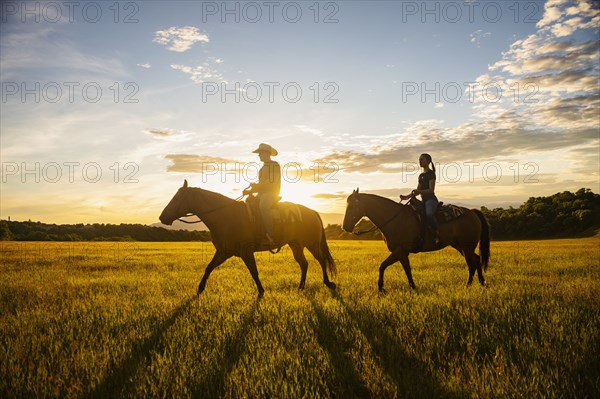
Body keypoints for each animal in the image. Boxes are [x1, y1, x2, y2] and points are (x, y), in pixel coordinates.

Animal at [159, 181, 338, 296]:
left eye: (177, 198)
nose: (162, 217)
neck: (225, 215)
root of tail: (312, 212)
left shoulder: (246, 251)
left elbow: (254, 271)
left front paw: (261, 292)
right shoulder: (223, 252)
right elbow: (208, 268)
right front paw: (199, 290)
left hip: (312, 244)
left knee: (321, 260)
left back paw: (328, 283)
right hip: (296, 245)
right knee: (304, 263)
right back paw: (300, 287)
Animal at [344, 189, 490, 292]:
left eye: (351, 206)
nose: (345, 227)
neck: (395, 219)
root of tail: (472, 212)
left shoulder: (400, 251)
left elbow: (385, 266)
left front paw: (381, 288)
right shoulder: (401, 253)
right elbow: (404, 269)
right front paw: (411, 287)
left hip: (466, 246)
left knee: (471, 264)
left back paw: (468, 285)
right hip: (460, 246)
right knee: (476, 260)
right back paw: (482, 283)